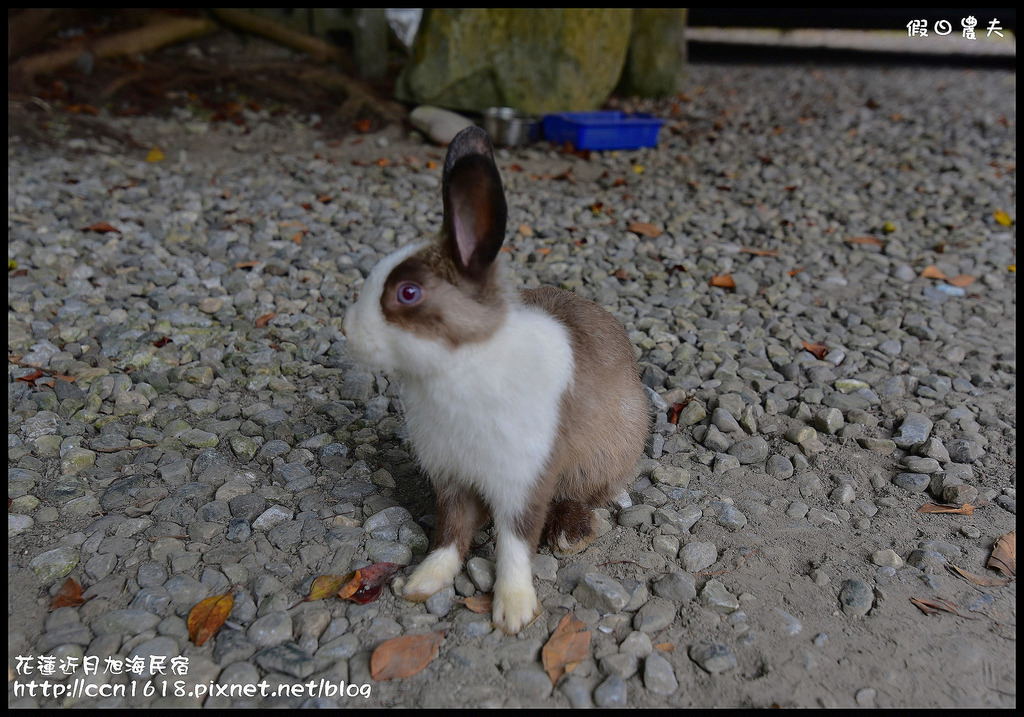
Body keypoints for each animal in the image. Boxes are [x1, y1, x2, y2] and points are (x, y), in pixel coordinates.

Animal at [342, 125, 647, 635]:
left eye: (409, 292)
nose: (347, 331)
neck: (460, 364)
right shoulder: (451, 478)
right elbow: (451, 533)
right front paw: (420, 583)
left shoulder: (525, 480)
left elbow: (515, 544)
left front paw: (514, 611)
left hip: (604, 456)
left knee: (585, 495)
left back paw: (571, 533)